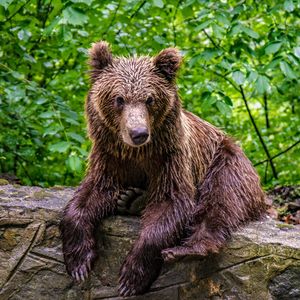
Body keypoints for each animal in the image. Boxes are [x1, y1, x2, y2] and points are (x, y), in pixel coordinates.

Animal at [59, 41, 266, 296]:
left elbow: (172, 203)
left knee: (222, 198)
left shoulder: (170, 158)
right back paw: (131, 199)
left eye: (149, 99)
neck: (138, 153)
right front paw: (78, 263)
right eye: (119, 99)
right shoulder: (110, 158)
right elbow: (89, 196)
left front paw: (131, 278)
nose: (138, 133)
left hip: (226, 161)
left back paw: (186, 249)